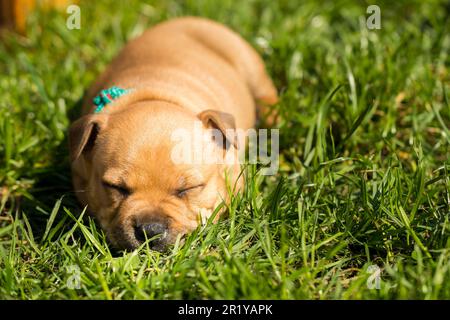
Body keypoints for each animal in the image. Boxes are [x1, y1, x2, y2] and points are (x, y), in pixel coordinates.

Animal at [69, 16, 278, 252]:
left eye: (188, 188)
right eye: (115, 187)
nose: (150, 230)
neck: (152, 94)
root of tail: (186, 19)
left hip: (248, 63)